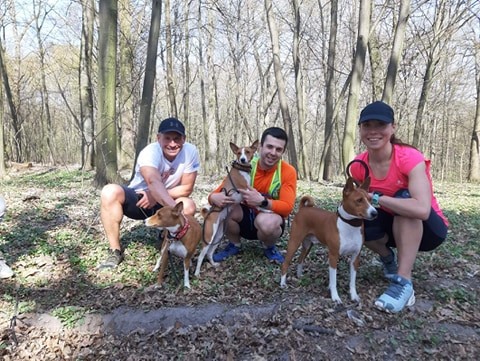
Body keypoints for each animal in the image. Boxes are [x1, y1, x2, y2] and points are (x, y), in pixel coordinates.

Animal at [194, 139, 258, 274]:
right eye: (239, 153)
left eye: (247, 152)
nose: (243, 159)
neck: (242, 169)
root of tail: (207, 215)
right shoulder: (245, 190)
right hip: (209, 236)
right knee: (201, 256)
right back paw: (197, 273)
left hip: (217, 236)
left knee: (209, 253)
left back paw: (214, 264)